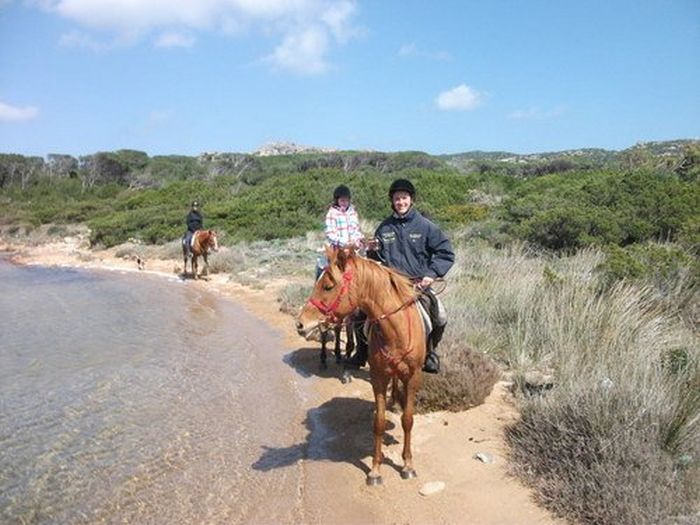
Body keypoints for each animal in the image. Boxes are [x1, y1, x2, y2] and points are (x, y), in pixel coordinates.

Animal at [296, 246, 426, 484]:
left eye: (328, 286)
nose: (300, 324)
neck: (396, 332)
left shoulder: (413, 376)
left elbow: (408, 420)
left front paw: (408, 465)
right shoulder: (378, 377)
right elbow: (379, 422)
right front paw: (375, 470)